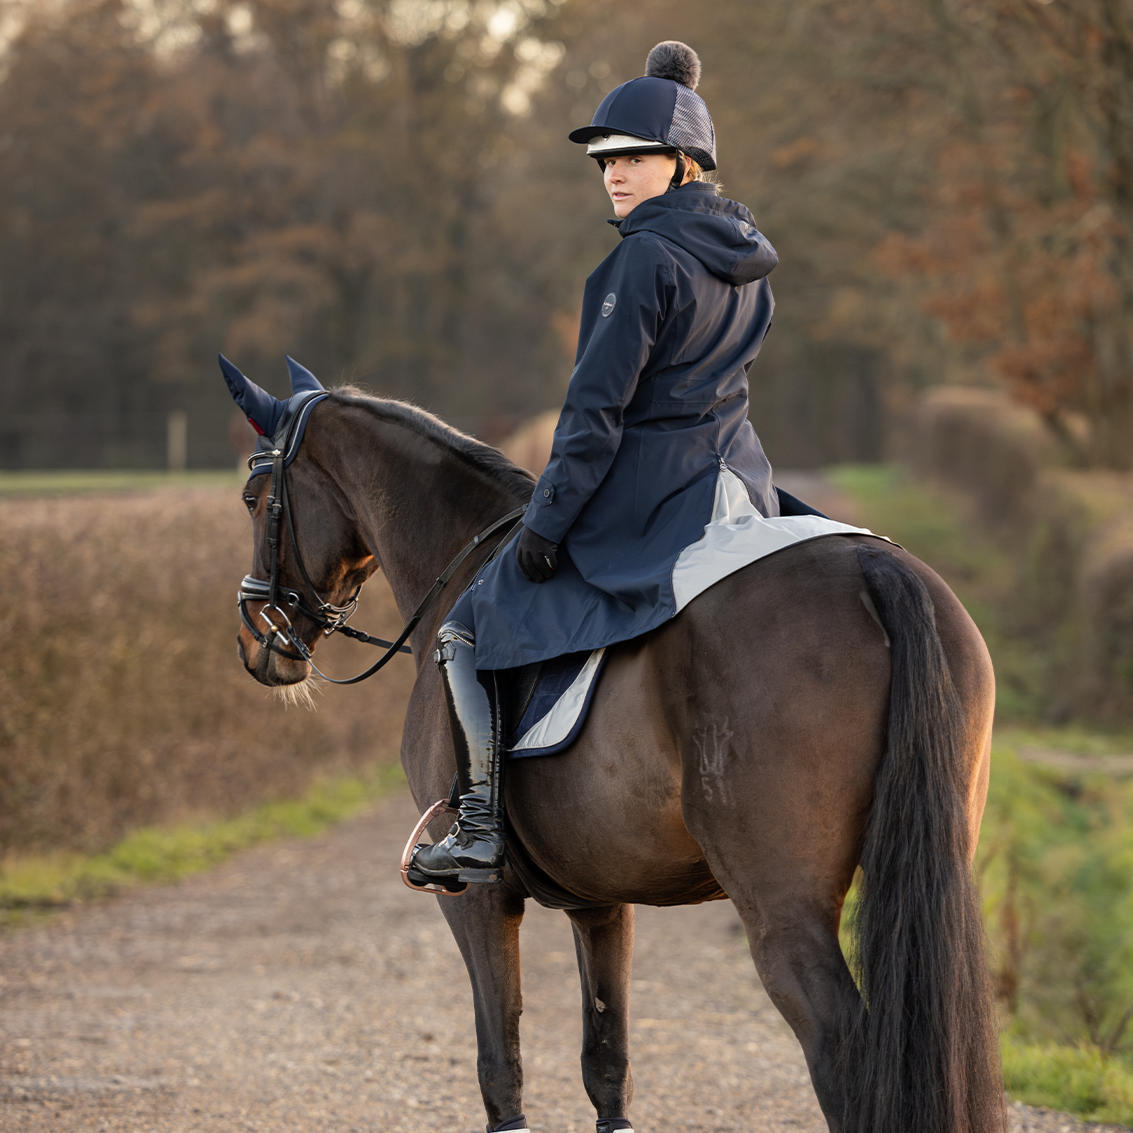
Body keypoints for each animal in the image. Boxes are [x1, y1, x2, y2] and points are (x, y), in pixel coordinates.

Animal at [232, 385, 1005, 1133]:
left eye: (253, 497)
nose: (254, 641)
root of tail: (868, 566)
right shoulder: (600, 900)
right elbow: (607, 1063)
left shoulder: (477, 900)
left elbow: (499, 1064)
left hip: (785, 911)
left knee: (845, 1053)